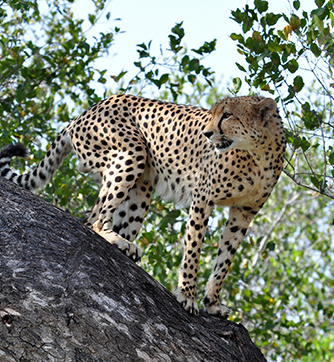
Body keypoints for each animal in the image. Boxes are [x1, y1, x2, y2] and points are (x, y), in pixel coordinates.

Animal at [0, 93, 288, 316]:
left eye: (227, 115)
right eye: (213, 114)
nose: (207, 133)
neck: (258, 152)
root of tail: (90, 108)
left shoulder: (243, 213)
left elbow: (225, 261)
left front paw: (213, 303)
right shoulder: (202, 199)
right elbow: (193, 251)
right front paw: (188, 296)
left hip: (143, 185)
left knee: (111, 217)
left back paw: (126, 245)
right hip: (131, 153)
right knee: (94, 220)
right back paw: (114, 238)